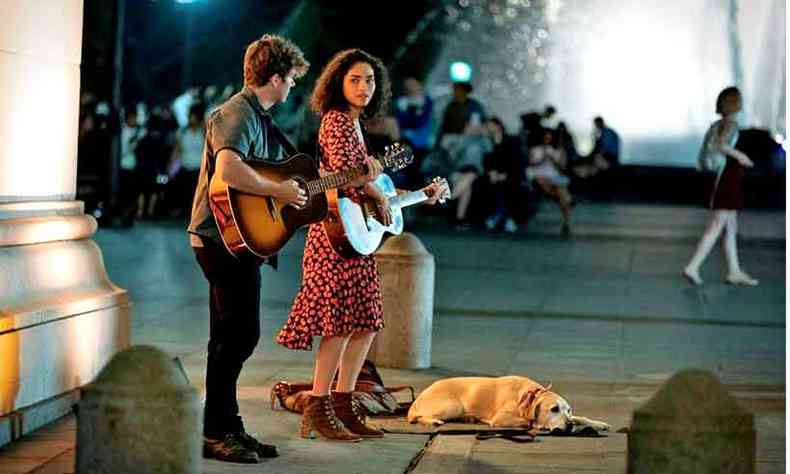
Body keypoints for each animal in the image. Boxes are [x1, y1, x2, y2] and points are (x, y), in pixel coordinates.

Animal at [408, 378, 612, 434]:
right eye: (554, 409)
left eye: (568, 410)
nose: (569, 426)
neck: (529, 395)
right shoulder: (501, 418)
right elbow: (527, 421)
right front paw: (537, 424)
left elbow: (581, 417)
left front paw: (599, 424)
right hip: (453, 406)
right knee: (419, 417)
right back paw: (433, 421)